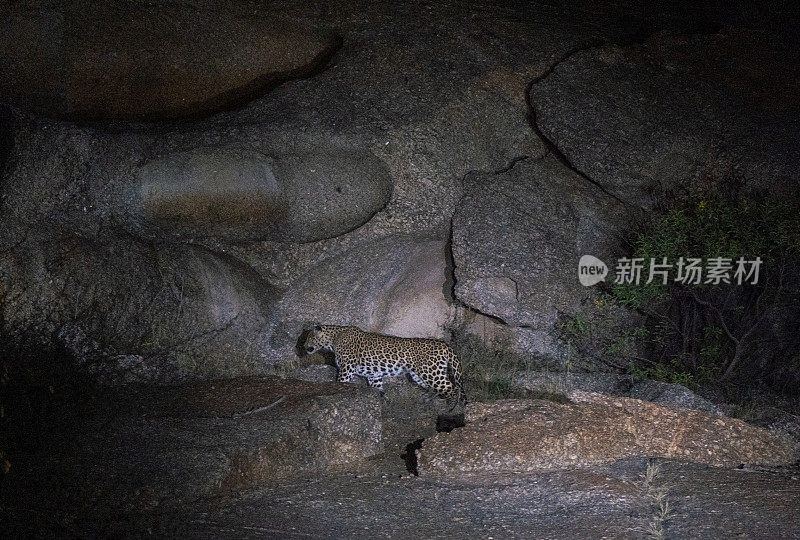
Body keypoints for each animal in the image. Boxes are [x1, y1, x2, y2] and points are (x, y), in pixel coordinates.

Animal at [304, 324, 466, 404]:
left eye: (309, 337)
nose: (304, 346)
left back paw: (451, 407)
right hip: (420, 375)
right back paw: (429, 399)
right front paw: (384, 405)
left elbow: (341, 382)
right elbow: (379, 391)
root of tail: (445, 345)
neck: (333, 339)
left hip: (431, 373)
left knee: (453, 388)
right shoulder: (374, 375)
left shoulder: (346, 369)